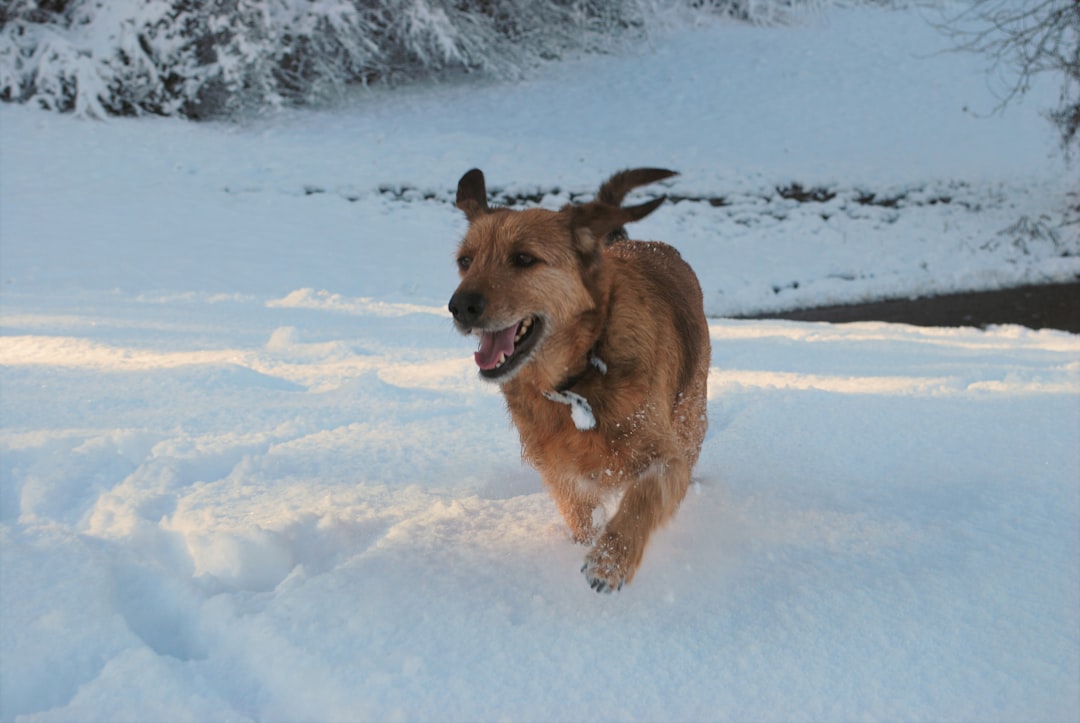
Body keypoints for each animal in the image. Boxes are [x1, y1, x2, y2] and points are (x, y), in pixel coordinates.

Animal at [447, 169, 708, 592]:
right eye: (465, 261)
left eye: (524, 258)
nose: (460, 306)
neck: (575, 378)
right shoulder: (562, 474)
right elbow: (580, 517)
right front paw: (589, 544)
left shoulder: (667, 459)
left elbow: (644, 496)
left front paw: (610, 560)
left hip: (691, 417)